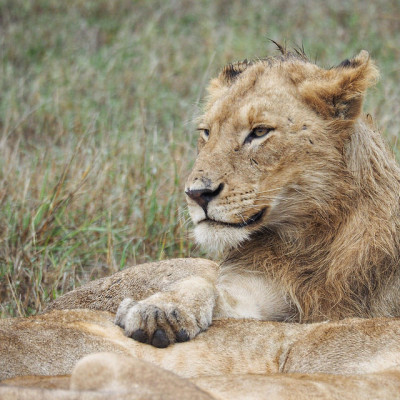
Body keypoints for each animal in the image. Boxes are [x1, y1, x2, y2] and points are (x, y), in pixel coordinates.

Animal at [0, 48, 400, 398]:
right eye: (206, 133)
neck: (310, 235)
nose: (197, 193)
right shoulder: (255, 299)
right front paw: (159, 312)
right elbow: (207, 288)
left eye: (260, 132)